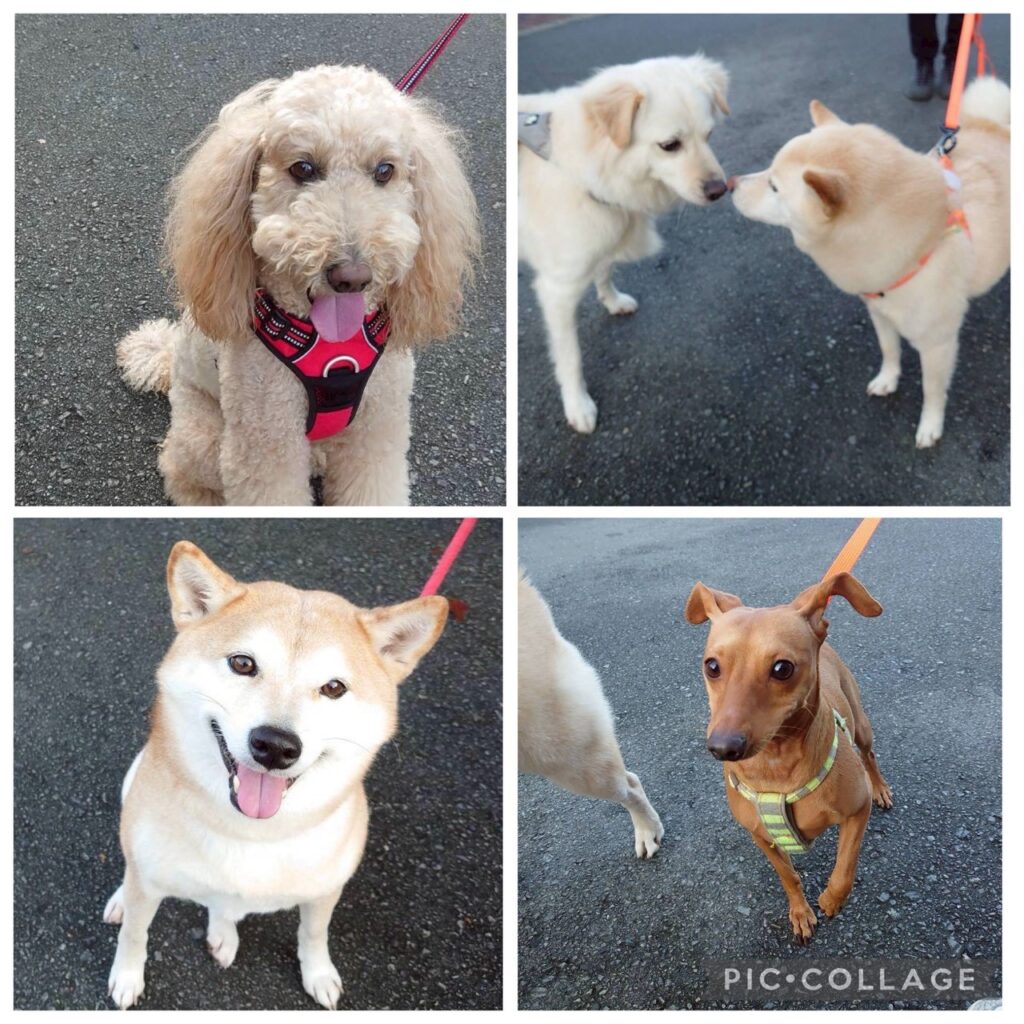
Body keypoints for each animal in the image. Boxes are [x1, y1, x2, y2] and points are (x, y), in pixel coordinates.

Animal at [103, 541, 449, 1008]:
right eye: (243, 663)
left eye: (334, 688)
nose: (276, 746)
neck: (252, 833)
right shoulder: (148, 885)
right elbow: (135, 934)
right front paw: (126, 976)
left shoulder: (325, 891)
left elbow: (315, 933)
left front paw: (319, 974)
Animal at [117, 65, 479, 505]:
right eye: (303, 168)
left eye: (385, 170)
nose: (351, 276)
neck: (332, 345)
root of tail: (169, 358)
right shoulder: (265, 440)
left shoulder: (378, 430)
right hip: (205, 439)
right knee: (176, 465)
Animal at [519, 55, 730, 432]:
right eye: (670, 145)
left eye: (710, 135)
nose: (720, 190)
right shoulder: (557, 289)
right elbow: (570, 357)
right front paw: (578, 405)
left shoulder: (605, 232)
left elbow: (605, 270)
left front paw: (612, 301)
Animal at [684, 572, 892, 942]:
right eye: (712, 666)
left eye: (782, 668)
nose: (723, 748)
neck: (776, 767)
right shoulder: (763, 839)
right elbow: (788, 875)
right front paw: (800, 911)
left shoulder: (858, 811)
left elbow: (845, 868)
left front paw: (831, 900)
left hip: (861, 725)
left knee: (870, 753)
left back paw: (881, 786)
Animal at [730, 78, 1010, 447]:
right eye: (768, 171)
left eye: (774, 186)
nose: (728, 184)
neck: (916, 244)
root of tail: (997, 127)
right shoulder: (879, 312)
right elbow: (889, 351)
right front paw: (887, 380)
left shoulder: (938, 344)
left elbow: (932, 391)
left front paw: (930, 426)